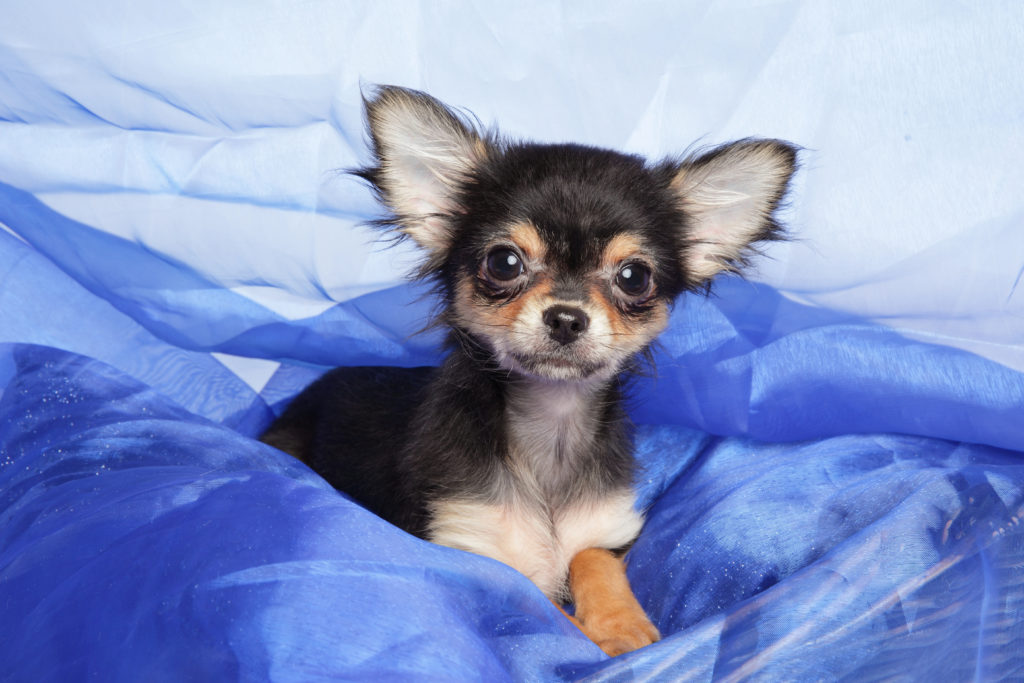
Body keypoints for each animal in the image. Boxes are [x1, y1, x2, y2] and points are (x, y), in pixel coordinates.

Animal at [260, 87, 794, 655]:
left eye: (634, 276)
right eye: (504, 262)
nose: (566, 316)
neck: (550, 428)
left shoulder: (606, 529)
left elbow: (592, 557)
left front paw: (621, 626)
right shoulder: (470, 550)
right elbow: (538, 601)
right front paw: (589, 633)